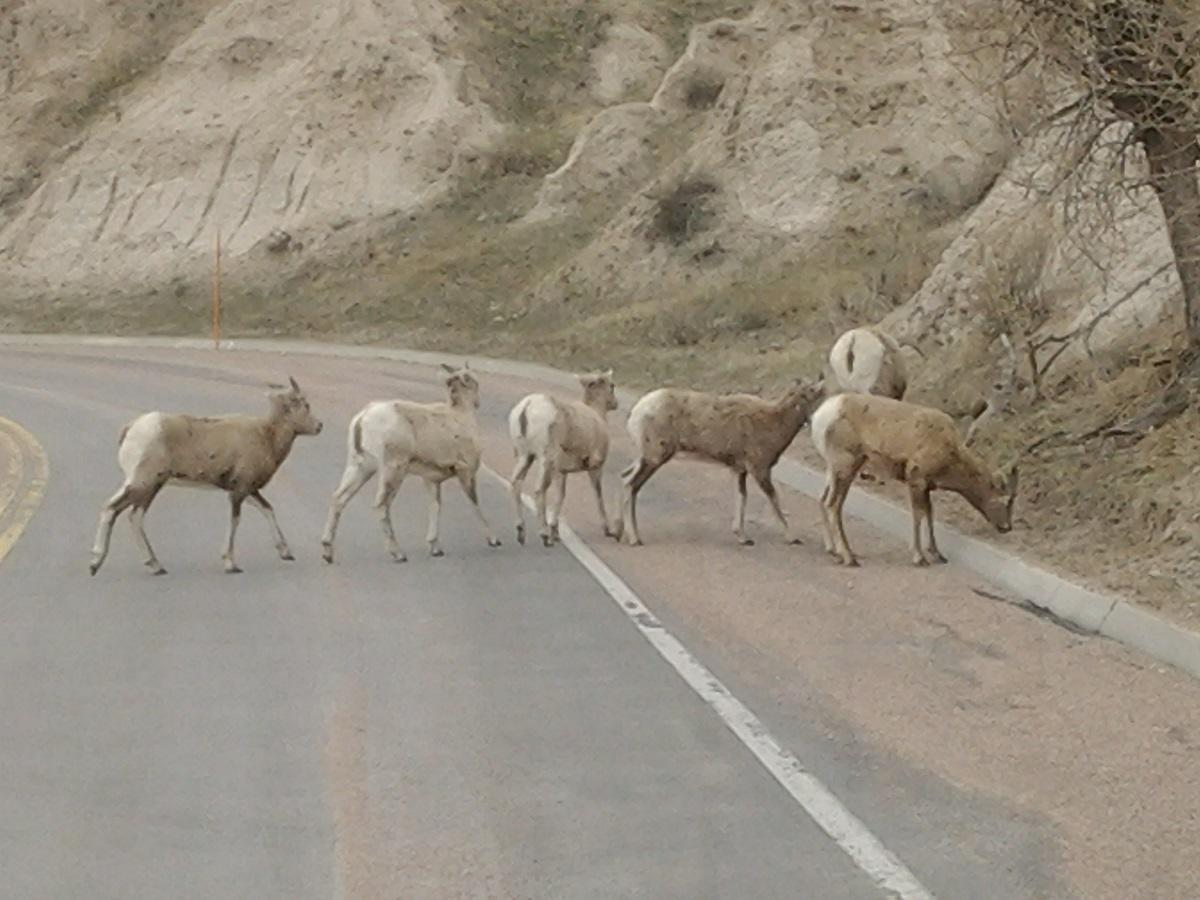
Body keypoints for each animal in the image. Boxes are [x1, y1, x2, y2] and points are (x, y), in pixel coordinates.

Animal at [87, 374, 324, 578]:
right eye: (305, 405)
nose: (319, 426)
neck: (267, 435)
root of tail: (132, 429)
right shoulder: (238, 491)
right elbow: (235, 520)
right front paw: (231, 564)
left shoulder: (247, 490)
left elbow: (268, 509)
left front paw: (286, 553)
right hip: (146, 483)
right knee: (118, 511)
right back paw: (101, 564)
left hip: (144, 484)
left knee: (127, 513)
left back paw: (152, 566)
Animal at [319, 364, 501, 564]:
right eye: (474, 380)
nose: (478, 402)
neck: (461, 415)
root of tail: (362, 419)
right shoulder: (466, 471)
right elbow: (475, 504)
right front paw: (494, 540)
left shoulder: (431, 479)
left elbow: (435, 505)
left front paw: (435, 548)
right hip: (393, 469)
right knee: (381, 505)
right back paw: (398, 554)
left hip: (360, 466)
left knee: (338, 498)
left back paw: (327, 552)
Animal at [506, 367, 619, 549]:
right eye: (612, 385)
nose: (615, 403)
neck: (596, 414)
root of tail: (526, 408)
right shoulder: (595, 467)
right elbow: (598, 494)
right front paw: (609, 531)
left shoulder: (561, 471)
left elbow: (560, 495)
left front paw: (556, 533)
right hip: (544, 458)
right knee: (538, 489)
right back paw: (544, 535)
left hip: (525, 455)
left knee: (516, 482)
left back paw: (521, 532)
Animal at [619, 376, 825, 547]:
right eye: (816, 397)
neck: (773, 423)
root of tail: (637, 412)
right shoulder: (760, 470)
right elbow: (774, 499)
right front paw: (792, 538)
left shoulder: (739, 470)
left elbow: (742, 497)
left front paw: (743, 538)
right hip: (655, 458)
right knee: (631, 486)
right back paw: (634, 539)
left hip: (645, 458)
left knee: (625, 479)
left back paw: (617, 532)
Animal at [811, 391, 1017, 566]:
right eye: (1005, 500)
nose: (1007, 527)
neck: (950, 450)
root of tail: (822, 415)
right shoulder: (916, 479)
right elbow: (918, 515)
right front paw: (920, 558)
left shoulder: (927, 486)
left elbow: (929, 513)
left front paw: (938, 554)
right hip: (846, 467)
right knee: (833, 505)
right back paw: (848, 557)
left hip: (834, 470)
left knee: (822, 499)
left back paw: (834, 551)